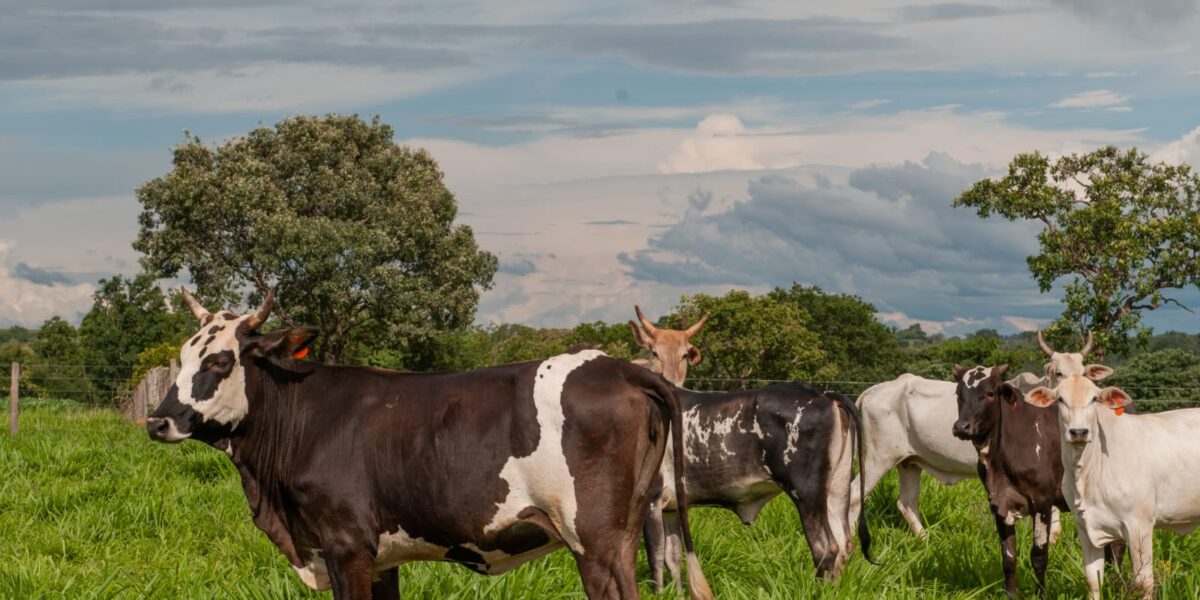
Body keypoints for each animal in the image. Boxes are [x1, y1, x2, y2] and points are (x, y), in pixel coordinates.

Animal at [148, 290, 710, 600]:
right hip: (630, 527)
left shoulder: (345, 546)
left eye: (220, 360)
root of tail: (619, 367)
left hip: (593, 539)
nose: (157, 421)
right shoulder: (381, 559)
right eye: (182, 356)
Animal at [1027, 374, 1200, 595]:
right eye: (1060, 399)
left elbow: (1143, 584)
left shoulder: (1139, 525)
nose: (1079, 432)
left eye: (1094, 399)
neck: (1087, 474)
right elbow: (1093, 581)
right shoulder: (1085, 527)